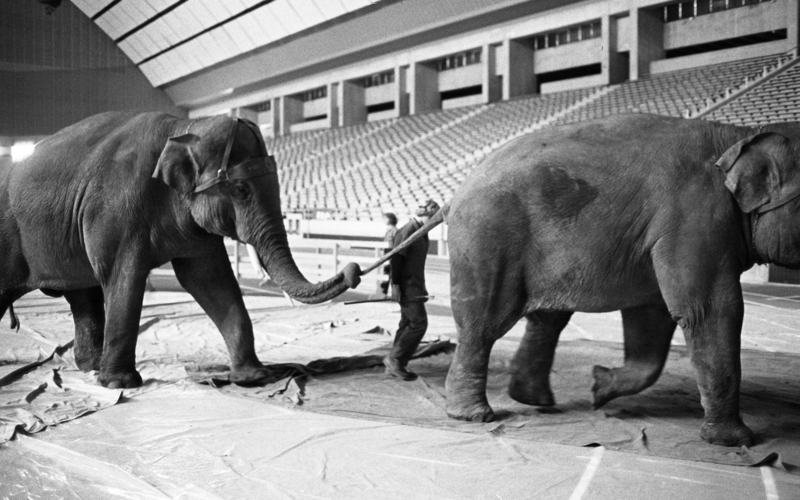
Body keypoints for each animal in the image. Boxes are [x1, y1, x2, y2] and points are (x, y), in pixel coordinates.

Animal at [0, 112, 361, 389]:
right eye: (241, 190)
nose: (353, 270)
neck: (185, 128)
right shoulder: (114, 208)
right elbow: (124, 278)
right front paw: (120, 384)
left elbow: (208, 279)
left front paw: (254, 376)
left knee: (83, 296)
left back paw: (89, 367)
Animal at [442, 113, 800, 447]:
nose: (597, 382)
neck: (741, 135)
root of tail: (454, 195)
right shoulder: (695, 218)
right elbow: (708, 312)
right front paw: (736, 441)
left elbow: (653, 317)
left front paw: (599, 387)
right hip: (486, 238)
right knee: (484, 324)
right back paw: (475, 415)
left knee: (547, 319)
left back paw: (535, 400)